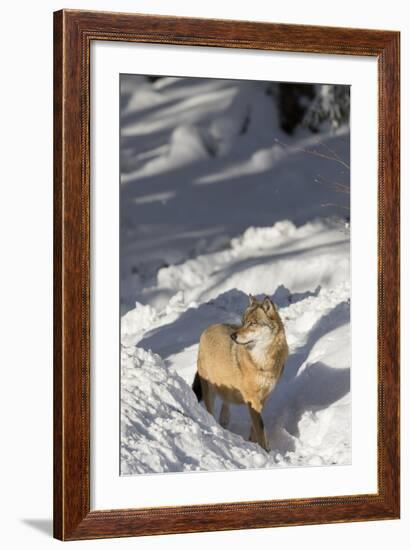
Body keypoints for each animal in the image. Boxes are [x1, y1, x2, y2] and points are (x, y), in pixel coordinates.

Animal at [192, 296, 288, 454]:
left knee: (225, 407)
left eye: (252, 323)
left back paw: (224, 423)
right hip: (209, 392)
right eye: (243, 322)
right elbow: (260, 427)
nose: (233, 336)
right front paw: (265, 451)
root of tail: (208, 328)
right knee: (210, 412)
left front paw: (253, 442)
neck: (263, 363)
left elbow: (256, 426)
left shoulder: (263, 398)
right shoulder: (252, 399)